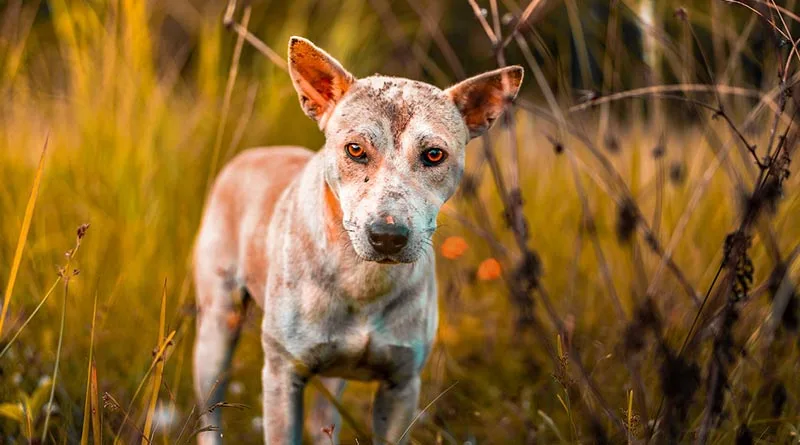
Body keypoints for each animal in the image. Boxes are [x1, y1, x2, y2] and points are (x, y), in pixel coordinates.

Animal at [191, 36, 520, 442]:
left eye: (434, 155)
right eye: (355, 149)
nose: (388, 236)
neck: (362, 279)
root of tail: (251, 155)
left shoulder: (402, 384)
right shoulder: (283, 376)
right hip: (217, 328)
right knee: (211, 399)